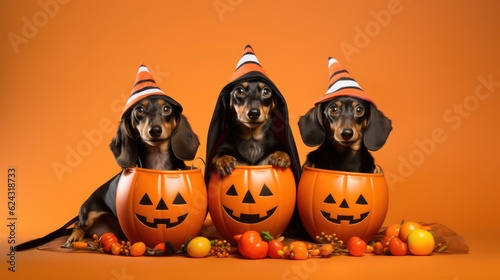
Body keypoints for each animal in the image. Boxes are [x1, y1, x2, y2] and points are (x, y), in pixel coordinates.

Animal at [64, 96, 199, 247]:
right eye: (140, 110)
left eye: (166, 108)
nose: (155, 130)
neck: (157, 159)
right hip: (89, 211)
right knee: (78, 225)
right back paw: (74, 237)